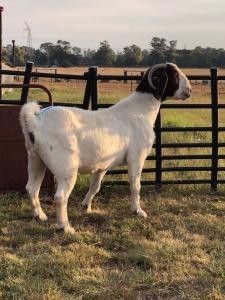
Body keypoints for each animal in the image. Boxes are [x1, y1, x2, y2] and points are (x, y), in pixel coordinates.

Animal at [20, 62, 191, 233]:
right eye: (175, 75)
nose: (189, 90)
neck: (140, 111)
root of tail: (35, 121)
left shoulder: (102, 165)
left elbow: (95, 186)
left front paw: (85, 206)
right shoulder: (136, 157)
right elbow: (135, 184)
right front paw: (138, 211)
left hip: (36, 158)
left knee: (31, 188)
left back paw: (39, 216)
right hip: (66, 167)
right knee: (60, 196)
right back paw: (65, 227)